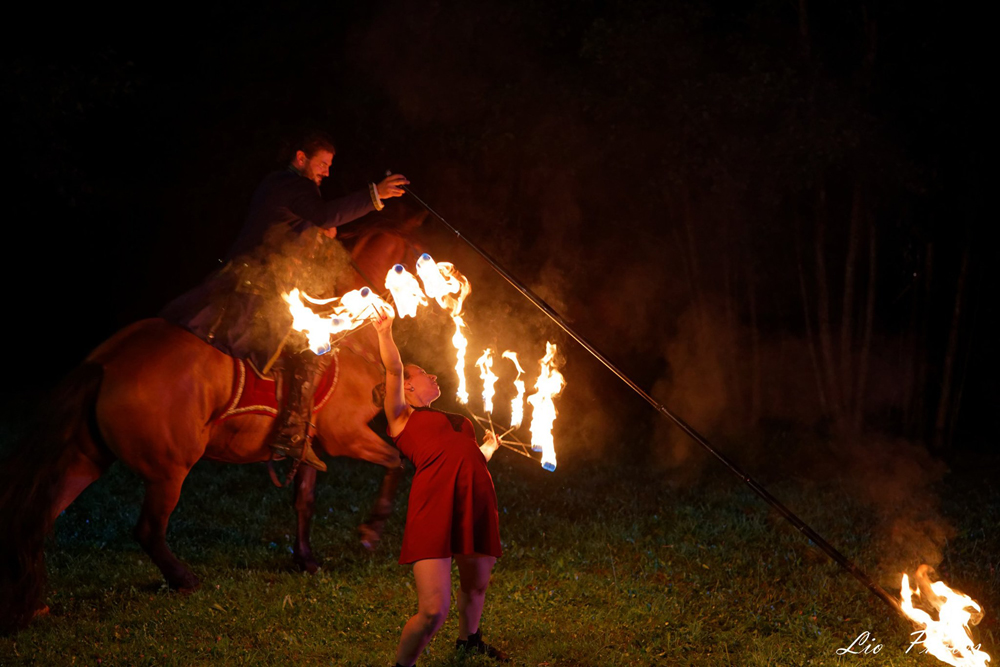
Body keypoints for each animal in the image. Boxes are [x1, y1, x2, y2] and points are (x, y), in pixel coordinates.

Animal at [0, 223, 418, 632]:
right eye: (414, 253)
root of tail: (104, 362)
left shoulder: (308, 445)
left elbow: (305, 500)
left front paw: (307, 559)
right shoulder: (347, 436)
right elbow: (395, 461)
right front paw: (372, 530)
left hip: (86, 460)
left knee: (40, 519)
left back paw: (34, 604)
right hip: (169, 470)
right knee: (147, 530)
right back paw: (184, 579)